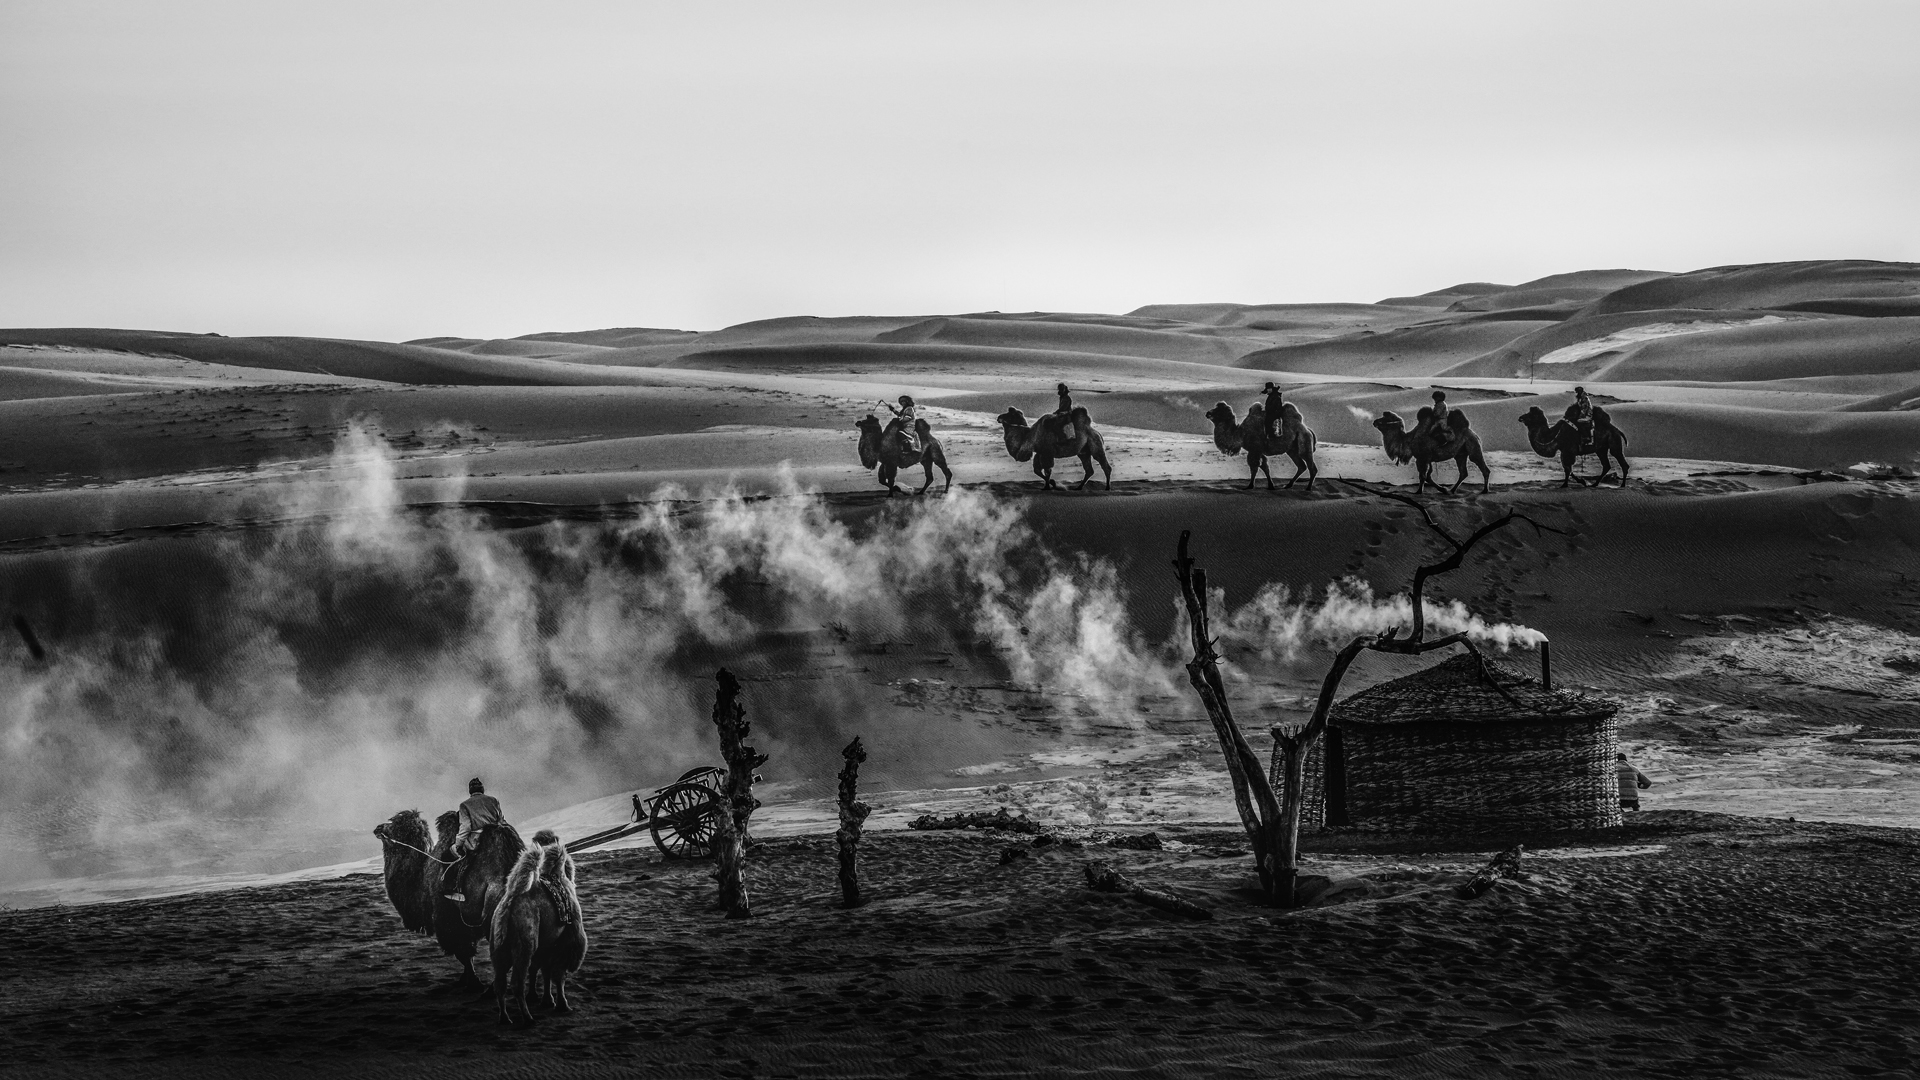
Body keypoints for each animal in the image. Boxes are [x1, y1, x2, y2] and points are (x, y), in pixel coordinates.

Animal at [491, 829, 588, 1026]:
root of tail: (509, 903)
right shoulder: (566, 941)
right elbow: (558, 974)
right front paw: (562, 1004)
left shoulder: (547, 943)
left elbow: (544, 970)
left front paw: (546, 1000)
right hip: (525, 944)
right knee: (516, 983)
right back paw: (527, 1017)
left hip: (499, 949)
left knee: (500, 983)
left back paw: (505, 1018)